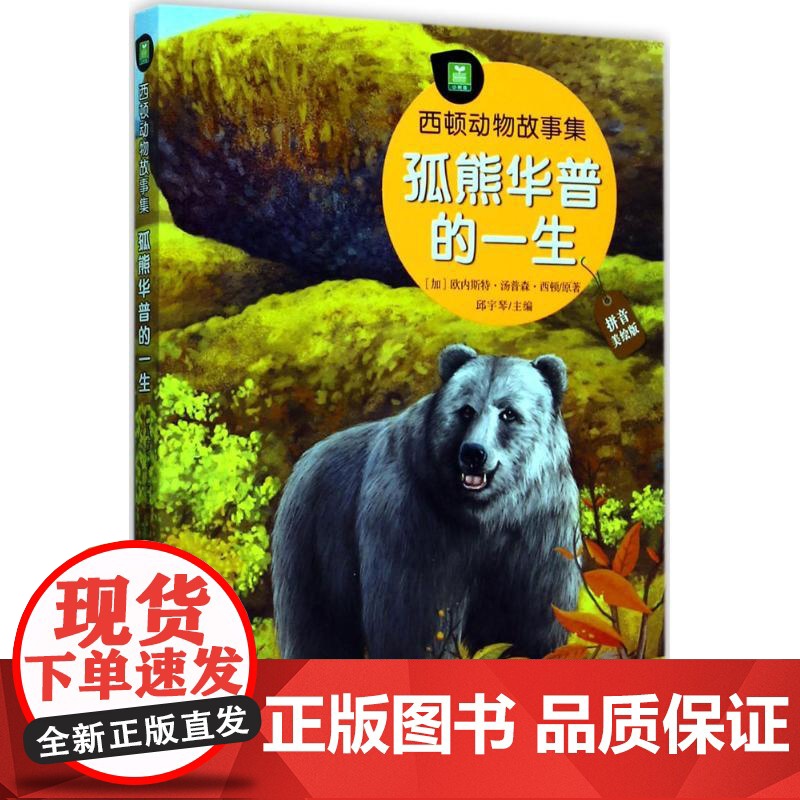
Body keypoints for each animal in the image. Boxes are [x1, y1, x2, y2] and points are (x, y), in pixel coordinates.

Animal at [271, 344, 580, 659]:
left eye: (509, 413)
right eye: (466, 410)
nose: (473, 453)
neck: (487, 515)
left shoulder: (539, 529)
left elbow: (529, 623)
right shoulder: (415, 522)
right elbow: (413, 622)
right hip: (314, 541)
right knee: (317, 626)